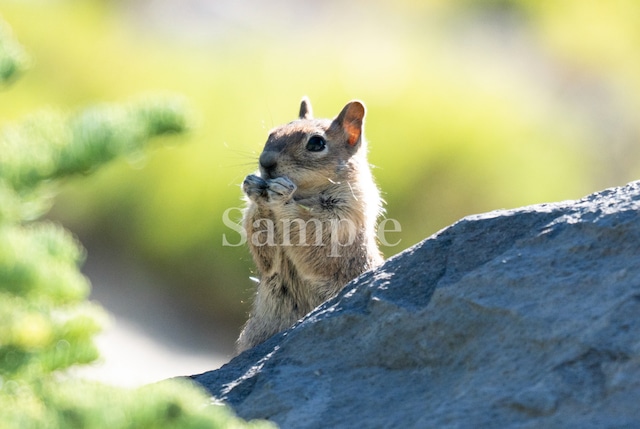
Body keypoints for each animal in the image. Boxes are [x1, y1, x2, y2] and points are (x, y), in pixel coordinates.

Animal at [236, 97, 382, 352]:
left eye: (316, 143)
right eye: (271, 133)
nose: (265, 162)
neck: (304, 194)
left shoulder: (343, 219)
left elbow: (313, 238)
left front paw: (281, 195)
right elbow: (267, 259)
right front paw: (255, 188)